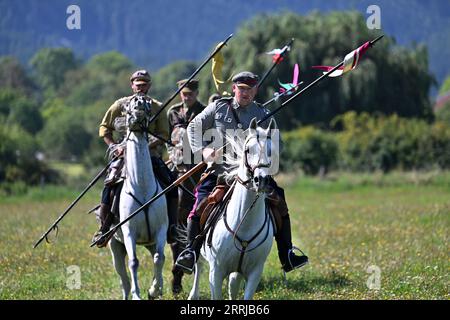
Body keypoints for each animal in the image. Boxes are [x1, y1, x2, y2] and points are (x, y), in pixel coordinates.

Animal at [108, 95, 167, 300]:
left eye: (148, 106)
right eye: (127, 107)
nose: (139, 100)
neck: (141, 187)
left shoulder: (161, 230)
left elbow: (159, 258)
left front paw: (154, 289)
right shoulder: (128, 232)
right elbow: (133, 262)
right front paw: (137, 294)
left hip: (150, 242)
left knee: (156, 256)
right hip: (115, 246)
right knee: (122, 276)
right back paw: (128, 293)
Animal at [187, 117, 278, 300]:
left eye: (272, 151)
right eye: (248, 150)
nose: (261, 180)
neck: (244, 223)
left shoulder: (254, 273)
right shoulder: (216, 272)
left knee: (233, 284)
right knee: (198, 266)